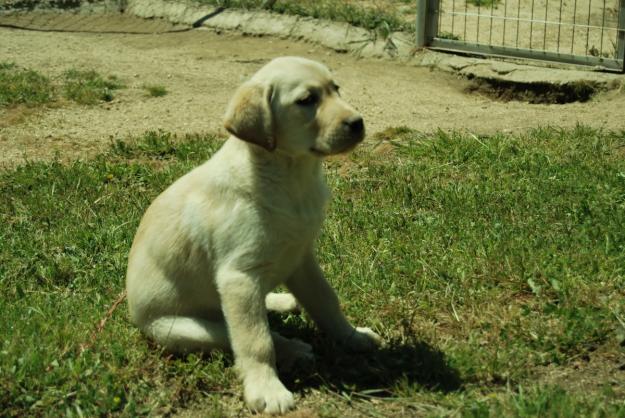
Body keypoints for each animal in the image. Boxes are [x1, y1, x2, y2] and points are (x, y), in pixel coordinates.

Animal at [125, 56, 380, 414]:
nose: (357, 123)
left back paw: (280, 301)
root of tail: (133, 314)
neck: (289, 175)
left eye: (336, 88)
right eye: (307, 100)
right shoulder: (239, 277)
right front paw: (267, 390)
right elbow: (257, 342)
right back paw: (294, 350)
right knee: (250, 334)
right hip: (182, 328)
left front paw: (352, 336)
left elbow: (326, 301)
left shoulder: (301, 257)